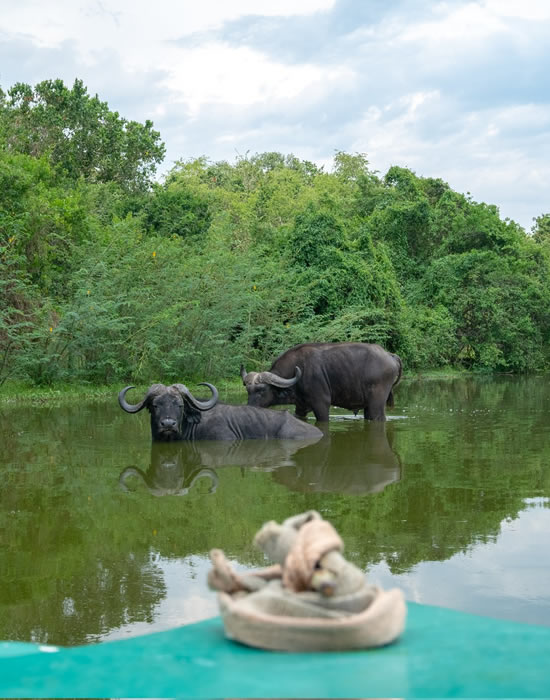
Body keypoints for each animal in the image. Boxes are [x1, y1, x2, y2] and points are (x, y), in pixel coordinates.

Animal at [244, 340, 404, 418]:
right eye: (248, 391)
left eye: (261, 390)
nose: (249, 407)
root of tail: (390, 355)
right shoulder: (300, 407)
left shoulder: (321, 404)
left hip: (376, 405)